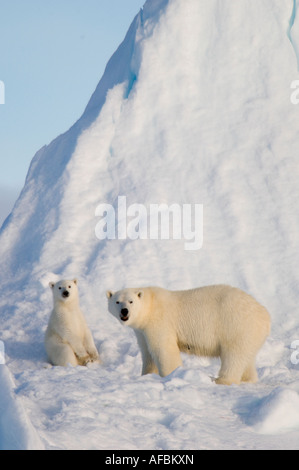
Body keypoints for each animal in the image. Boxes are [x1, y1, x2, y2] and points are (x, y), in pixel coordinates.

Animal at [107, 284, 272, 384]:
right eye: (117, 301)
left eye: (131, 301)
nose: (124, 311)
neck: (151, 305)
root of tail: (265, 315)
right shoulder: (141, 331)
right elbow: (147, 352)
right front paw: (146, 375)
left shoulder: (160, 321)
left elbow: (164, 349)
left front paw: (171, 375)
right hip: (250, 334)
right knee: (247, 358)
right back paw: (249, 379)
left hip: (236, 325)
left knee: (233, 356)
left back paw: (221, 380)